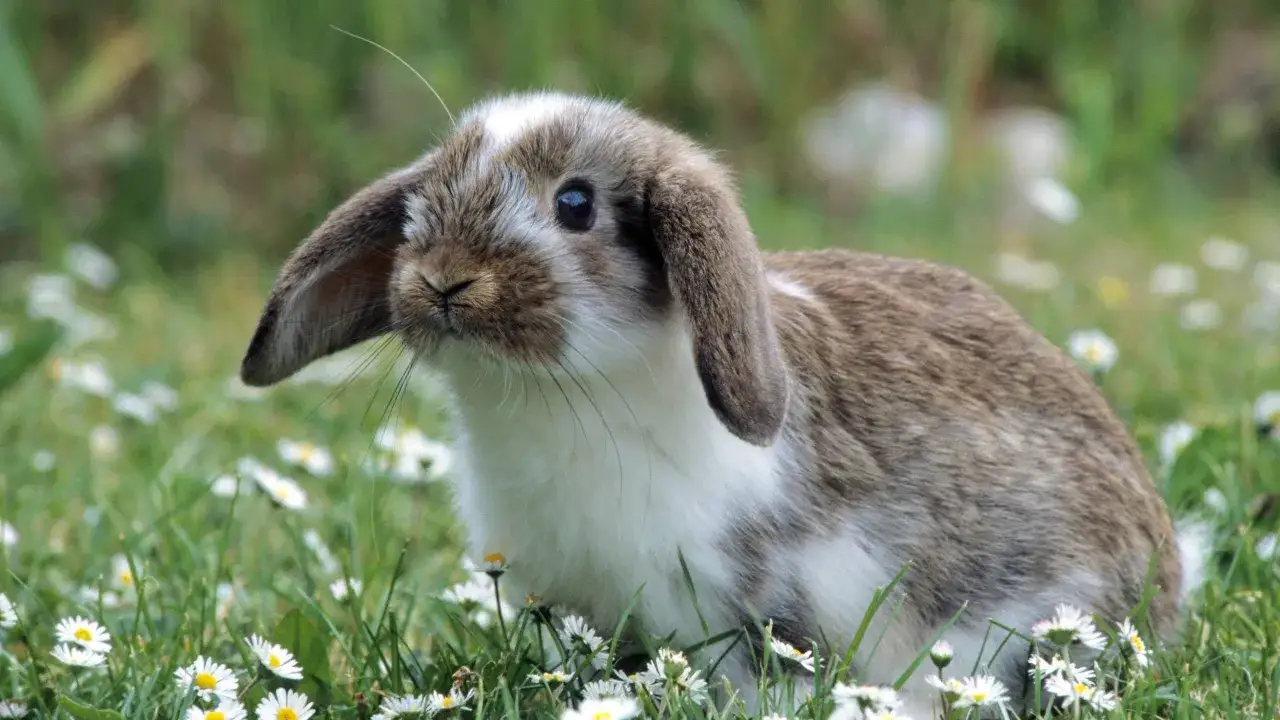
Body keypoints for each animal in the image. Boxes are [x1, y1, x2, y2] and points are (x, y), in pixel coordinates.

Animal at [238, 91, 1208, 717]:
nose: (443, 281)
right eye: (423, 203)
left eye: (575, 204)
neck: (561, 398)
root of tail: (1170, 566)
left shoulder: (771, 610)